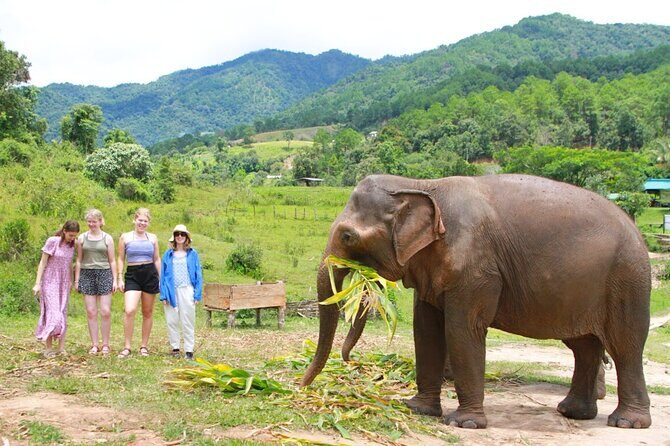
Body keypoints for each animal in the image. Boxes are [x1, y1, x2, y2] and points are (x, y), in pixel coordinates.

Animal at [300, 174, 651, 429]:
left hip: (627, 281)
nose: (301, 387)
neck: (422, 184)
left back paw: (626, 422)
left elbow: (461, 329)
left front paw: (464, 423)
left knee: (625, 346)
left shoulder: (476, 267)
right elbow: (425, 329)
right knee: (584, 346)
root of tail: (636, 230)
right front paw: (417, 409)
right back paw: (572, 412)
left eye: (348, 236)